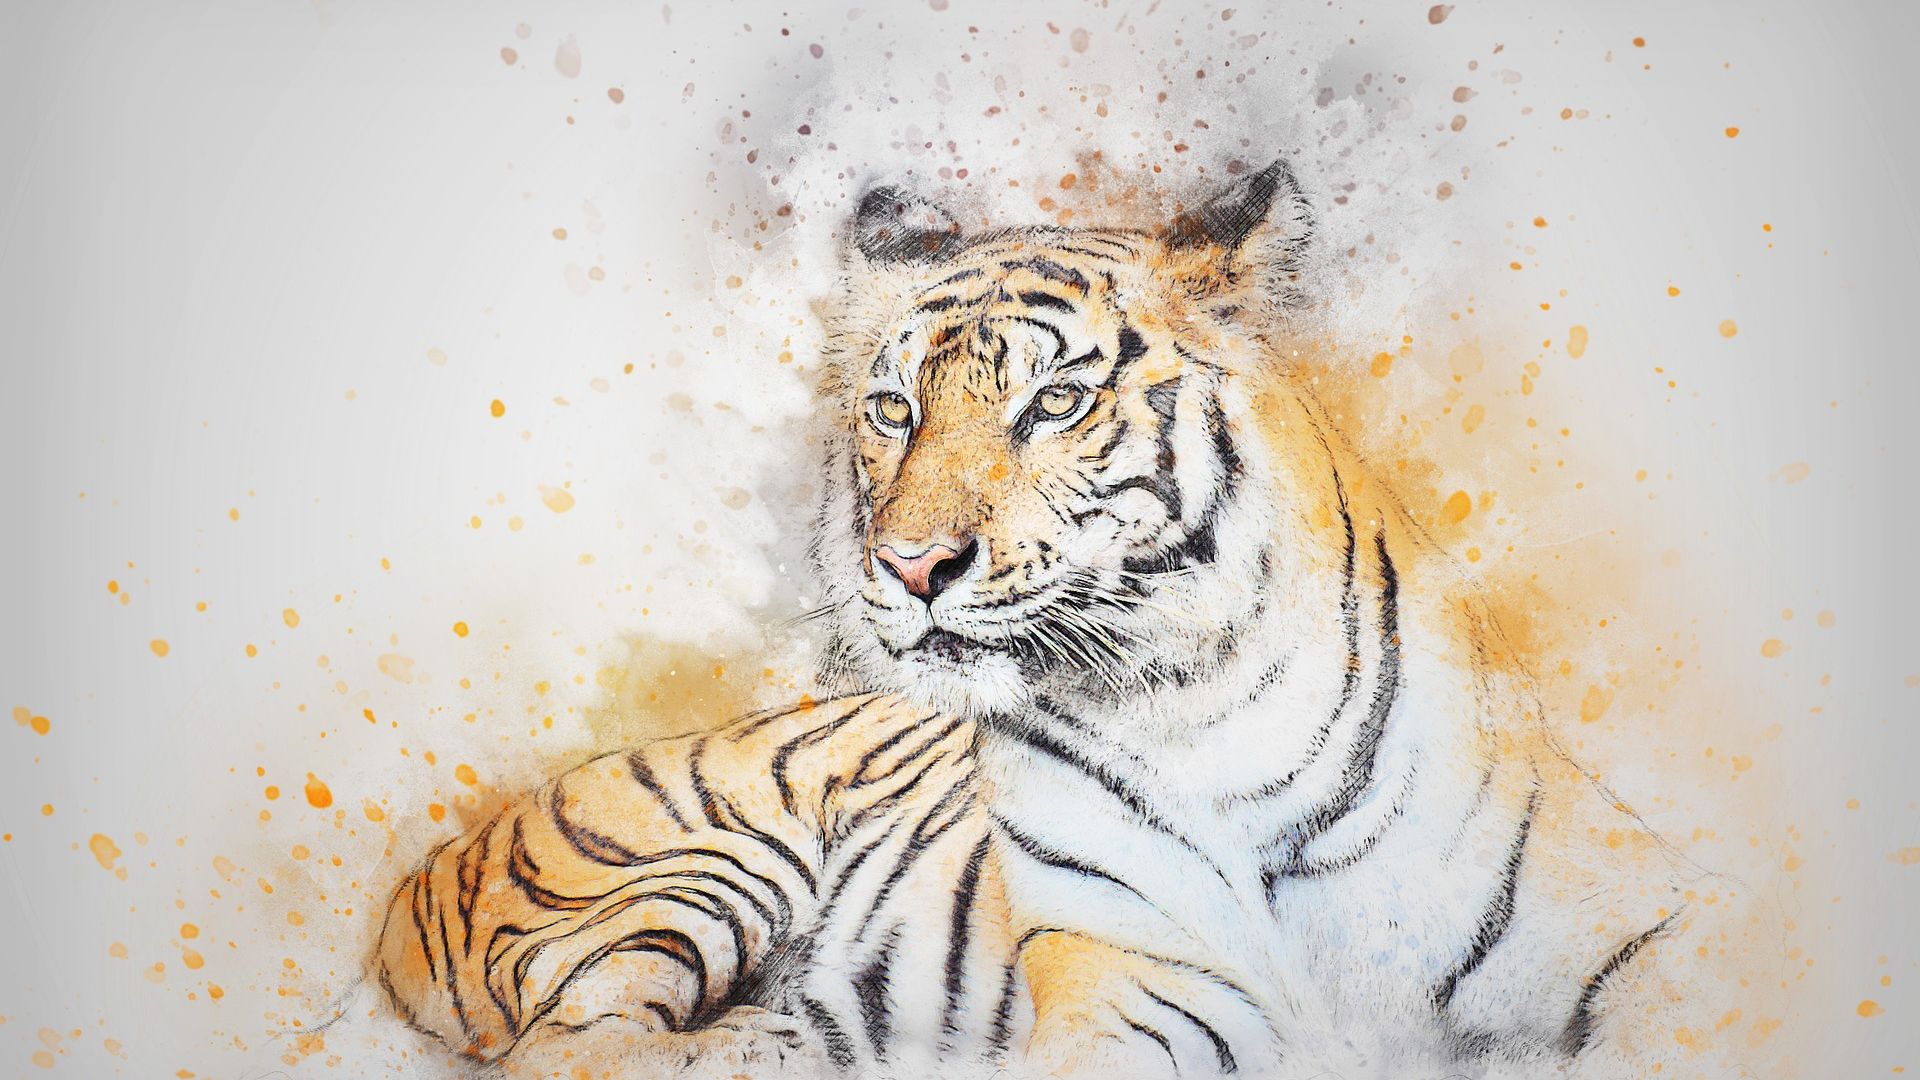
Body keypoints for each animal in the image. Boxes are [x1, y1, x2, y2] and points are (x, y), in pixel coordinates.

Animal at [373, 158, 1751, 1078]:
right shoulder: (1140, 992)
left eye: (1054, 403)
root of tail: (415, 882)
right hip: (696, 869)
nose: (911, 565)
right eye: (893, 411)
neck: (1208, 708)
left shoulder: (1635, 935)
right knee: (571, 1041)